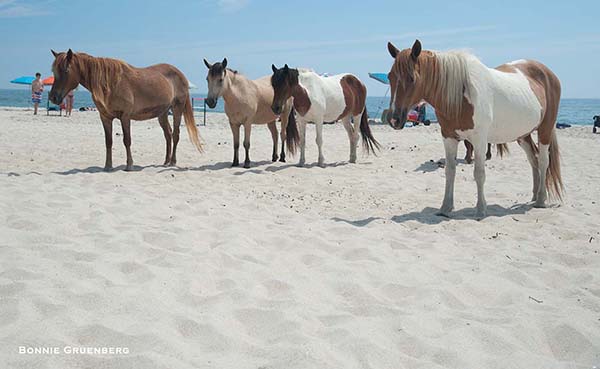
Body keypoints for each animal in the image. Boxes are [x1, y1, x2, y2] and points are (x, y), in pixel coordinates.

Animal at [47, 49, 202, 171]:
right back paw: (166, 161)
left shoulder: (125, 117)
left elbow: (127, 140)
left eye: (66, 70)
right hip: (162, 113)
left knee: (175, 134)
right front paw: (107, 166)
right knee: (168, 134)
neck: (110, 84)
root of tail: (181, 75)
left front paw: (129, 165)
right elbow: (108, 141)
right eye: (54, 71)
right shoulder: (105, 118)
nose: (53, 97)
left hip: (177, 109)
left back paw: (172, 162)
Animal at [384, 40, 564, 218]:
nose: (394, 119)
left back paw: (540, 199)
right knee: (533, 160)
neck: (461, 94)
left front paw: (481, 209)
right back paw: (534, 195)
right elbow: (450, 171)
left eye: (411, 78)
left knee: (543, 161)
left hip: (545, 129)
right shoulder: (448, 137)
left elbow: (479, 173)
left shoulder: (479, 141)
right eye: (390, 76)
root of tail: (549, 74)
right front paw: (445, 208)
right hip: (523, 135)